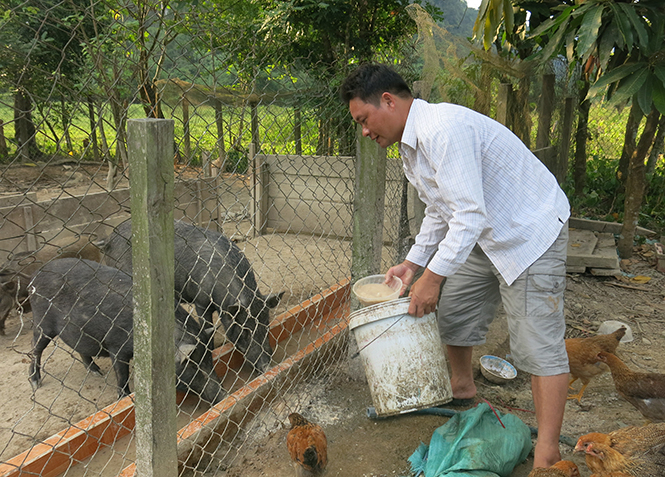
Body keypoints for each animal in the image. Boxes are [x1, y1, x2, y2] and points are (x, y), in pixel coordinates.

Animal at [28, 256, 224, 402]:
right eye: (192, 365)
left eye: (210, 360)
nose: (223, 395)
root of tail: (36, 275)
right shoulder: (116, 346)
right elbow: (122, 373)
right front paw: (124, 397)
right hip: (41, 321)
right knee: (35, 348)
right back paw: (35, 383)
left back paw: (96, 372)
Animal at [100, 219, 282, 372]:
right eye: (245, 330)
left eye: (266, 324)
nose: (267, 366)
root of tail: (109, 238)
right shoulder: (201, 302)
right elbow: (207, 326)